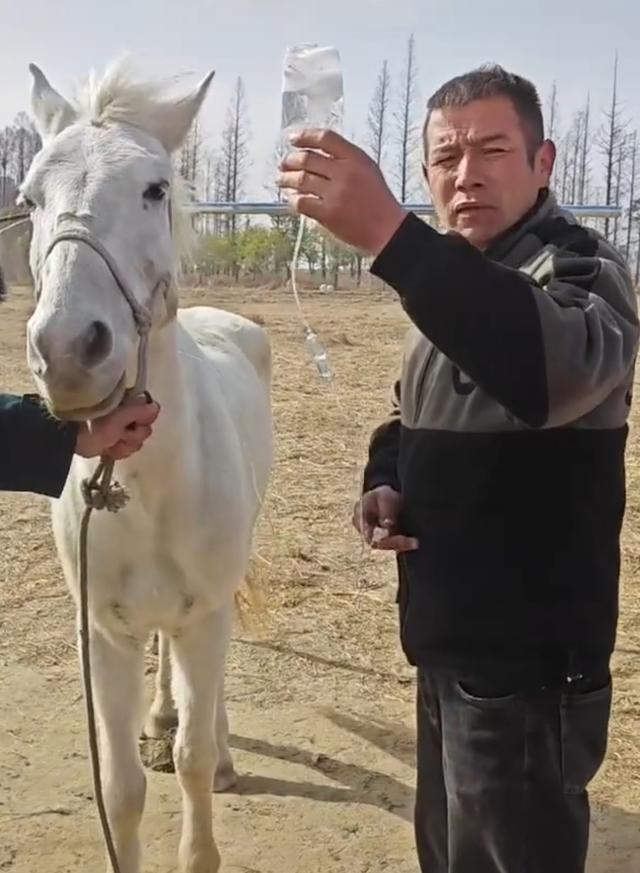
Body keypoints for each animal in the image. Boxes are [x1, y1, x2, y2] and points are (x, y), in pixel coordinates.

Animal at [21, 58, 273, 873]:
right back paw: (159, 717)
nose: (69, 350)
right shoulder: (104, 634)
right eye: (28, 198)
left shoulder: (206, 616)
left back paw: (218, 749)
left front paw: (203, 782)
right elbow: (121, 788)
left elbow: (190, 762)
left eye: (156, 189)